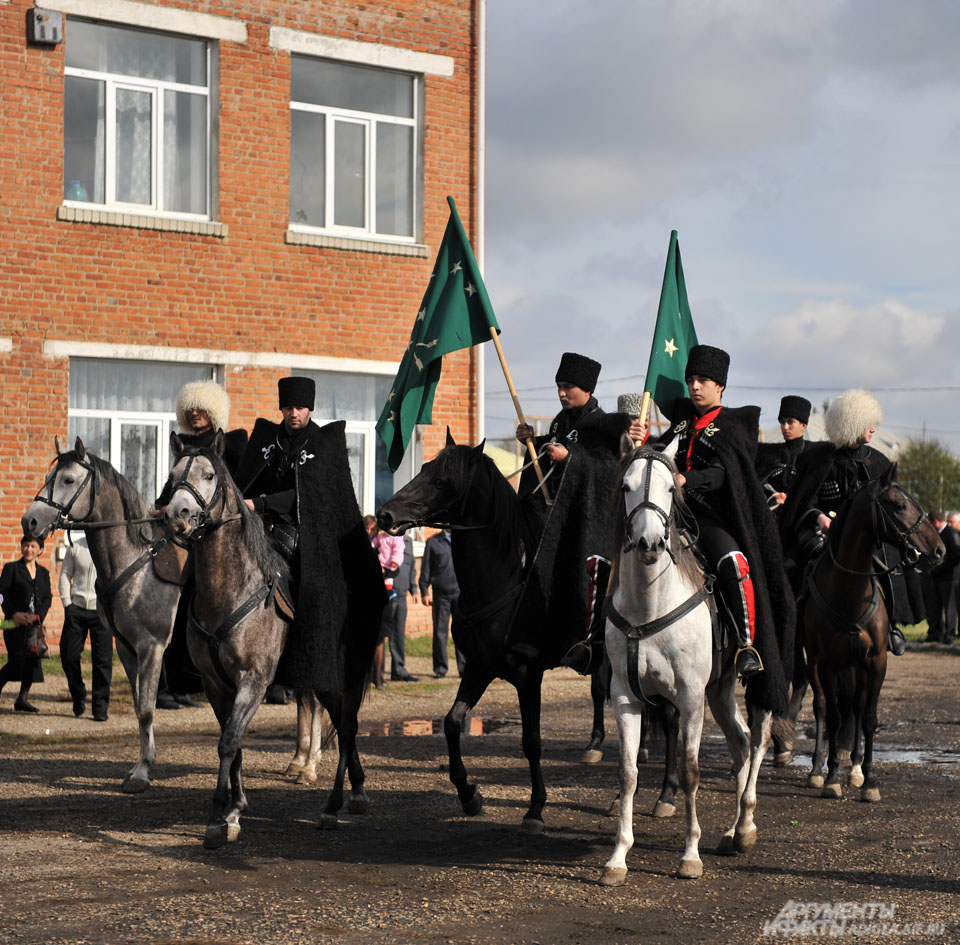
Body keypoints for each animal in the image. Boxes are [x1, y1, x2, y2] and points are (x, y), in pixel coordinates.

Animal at [604, 438, 776, 880]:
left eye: (670, 487)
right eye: (626, 486)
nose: (649, 543)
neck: (649, 606)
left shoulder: (690, 696)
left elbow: (690, 770)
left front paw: (690, 855)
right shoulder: (625, 696)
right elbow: (627, 772)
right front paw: (618, 856)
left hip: (749, 684)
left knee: (756, 740)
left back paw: (745, 826)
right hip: (720, 688)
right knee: (741, 742)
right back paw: (734, 832)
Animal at [800, 462, 940, 796]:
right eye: (900, 505)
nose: (940, 550)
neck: (849, 592)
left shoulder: (877, 661)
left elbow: (869, 718)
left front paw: (869, 779)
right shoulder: (827, 664)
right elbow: (833, 716)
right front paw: (831, 777)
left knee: (857, 705)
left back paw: (855, 769)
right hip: (814, 662)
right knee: (822, 706)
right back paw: (817, 769)